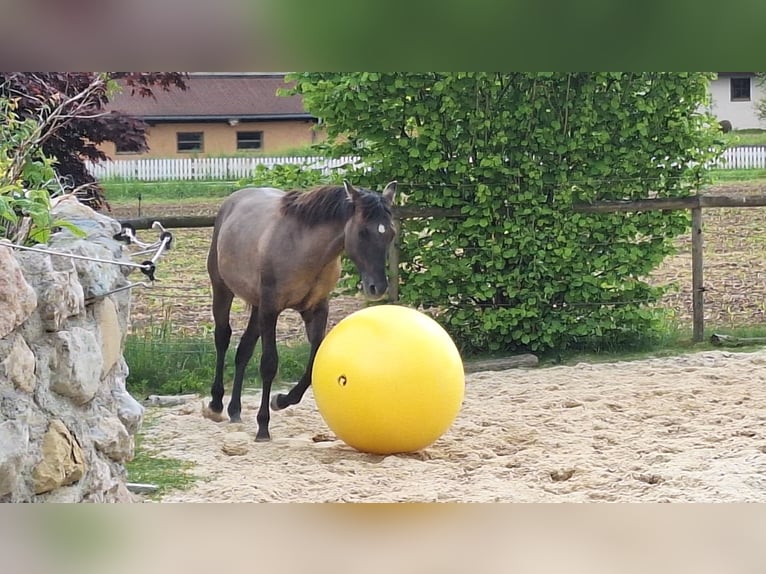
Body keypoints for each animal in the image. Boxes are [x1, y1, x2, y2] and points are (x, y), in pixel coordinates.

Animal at [203, 179, 398, 441]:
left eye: (390, 233)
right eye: (362, 232)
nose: (377, 287)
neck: (303, 248)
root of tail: (232, 201)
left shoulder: (316, 310)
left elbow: (314, 360)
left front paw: (280, 400)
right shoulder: (271, 310)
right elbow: (269, 364)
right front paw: (263, 426)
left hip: (256, 305)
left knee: (244, 349)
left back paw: (235, 410)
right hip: (223, 289)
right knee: (223, 339)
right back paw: (216, 405)